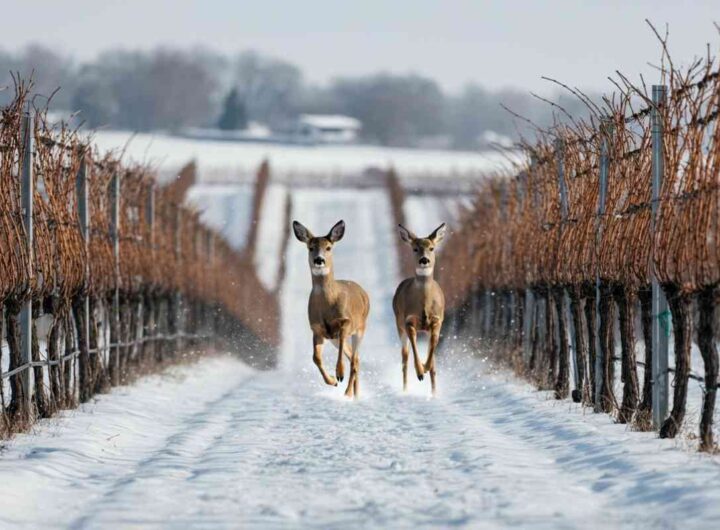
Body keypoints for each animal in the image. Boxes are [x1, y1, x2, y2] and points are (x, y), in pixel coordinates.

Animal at [292, 218, 372, 396]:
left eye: (328, 247)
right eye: (311, 247)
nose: (319, 260)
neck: (327, 305)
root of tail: (363, 291)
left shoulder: (345, 322)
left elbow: (343, 348)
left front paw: (339, 374)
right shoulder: (317, 329)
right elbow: (316, 358)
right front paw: (332, 381)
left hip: (360, 328)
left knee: (354, 359)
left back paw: (349, 393)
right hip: (334, 338)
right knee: (354, 358)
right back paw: (354, 394)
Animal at [390, 222, 448, 392]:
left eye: (432, 248)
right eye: (415, 248)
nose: (424, 260)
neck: (424, 304)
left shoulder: (437, 320)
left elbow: (433, 347)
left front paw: (425, 367)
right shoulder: (409, 320)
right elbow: (414, 349)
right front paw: (420, 371)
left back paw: (434, 392)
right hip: (399, 324)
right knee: (405, 357)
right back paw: (405, 389)